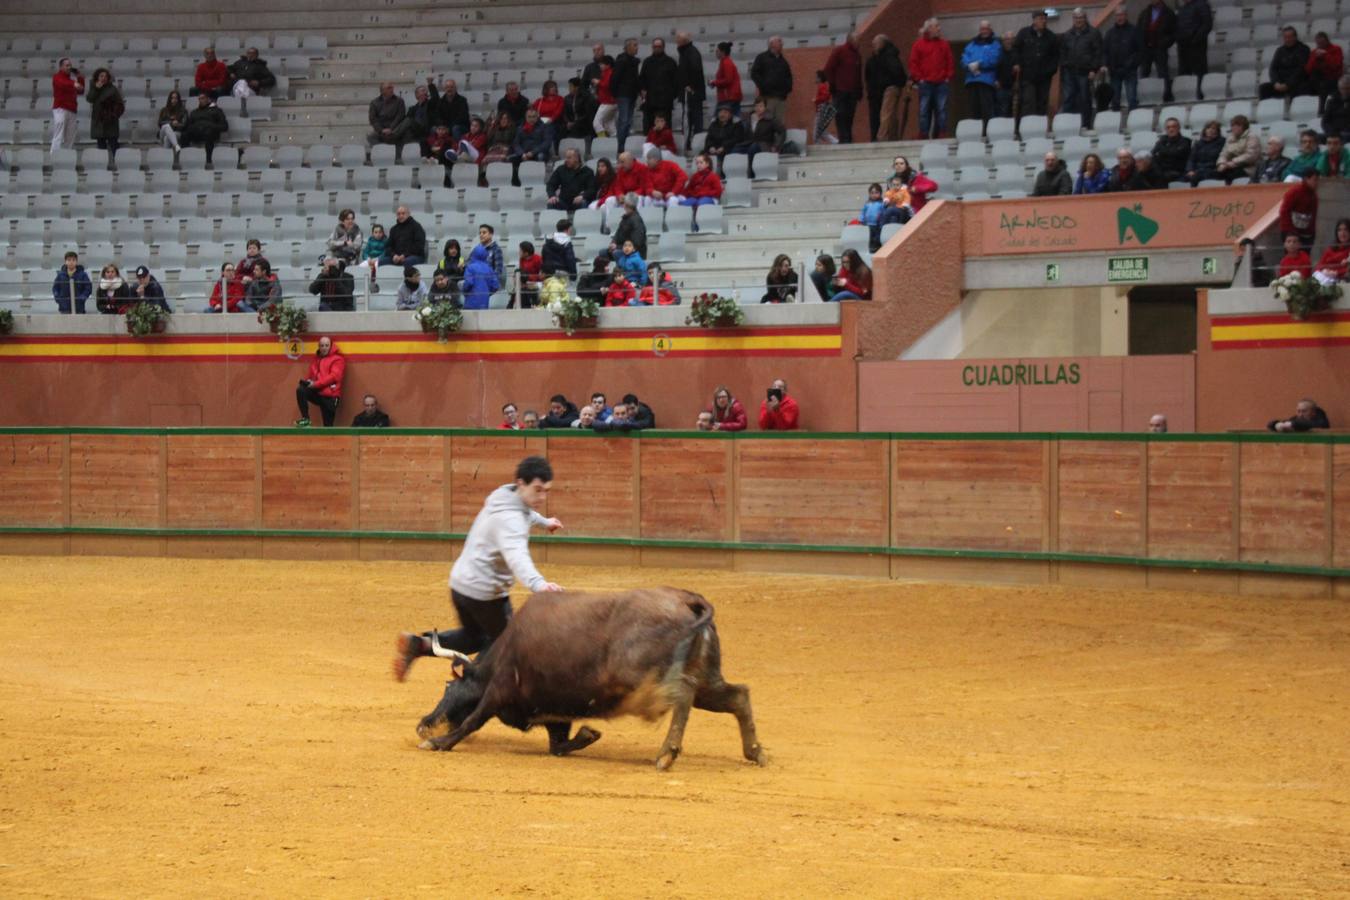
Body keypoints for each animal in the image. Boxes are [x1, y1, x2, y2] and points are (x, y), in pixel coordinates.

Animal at [410, 588, 772, 771]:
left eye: (448, 686)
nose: (423, 723)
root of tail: (688, 599)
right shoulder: (555, 712)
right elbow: (558, 746)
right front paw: (588, 734)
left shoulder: (499, 691)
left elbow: (472, 719)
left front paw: (439, 742)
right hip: (708, 682)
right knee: (738, 695)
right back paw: (755, 752)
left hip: (645, 678)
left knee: (683, 694)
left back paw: (667, 754)